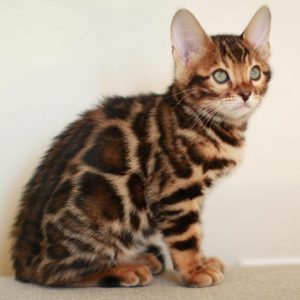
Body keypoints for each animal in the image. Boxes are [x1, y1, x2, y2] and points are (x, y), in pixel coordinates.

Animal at [10, 6, 270, 288]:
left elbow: (198, 231)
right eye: (220, 76)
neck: (210, 123)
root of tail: (22, 261)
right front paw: (193, 271)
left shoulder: (193, 194)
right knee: (55, 274)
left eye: (255, 73)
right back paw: (124, 269)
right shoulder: (176, 191)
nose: (245, 94)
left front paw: (202, 261)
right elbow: (186, 236)